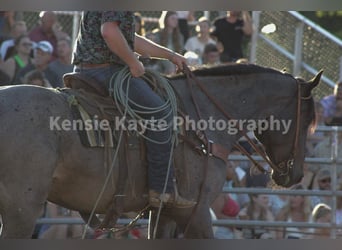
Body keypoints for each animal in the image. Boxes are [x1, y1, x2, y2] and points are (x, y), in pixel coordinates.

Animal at [0, 63, 320, 237]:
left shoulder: (163, 211)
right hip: (22, 209)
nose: (296, 174)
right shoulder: (196, 212)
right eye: (307, 120)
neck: (201, 117)